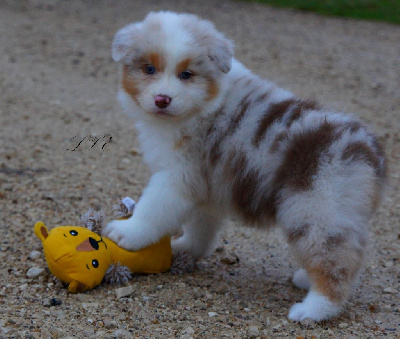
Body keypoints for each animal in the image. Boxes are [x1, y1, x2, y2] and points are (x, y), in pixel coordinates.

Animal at [102, 11, 384, 322]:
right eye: (149, 69)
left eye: (186, 75)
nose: (162, 99)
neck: (205, 103)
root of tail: (368, 152)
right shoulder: (206, 185)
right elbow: (201, 228)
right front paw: (185, 247)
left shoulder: (176, 178)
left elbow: (153, 209)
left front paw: (127, 232)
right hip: (338, 214)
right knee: (350, 255)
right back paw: (306, 280)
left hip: (317, 210)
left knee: (334, 264)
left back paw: (313, 308)